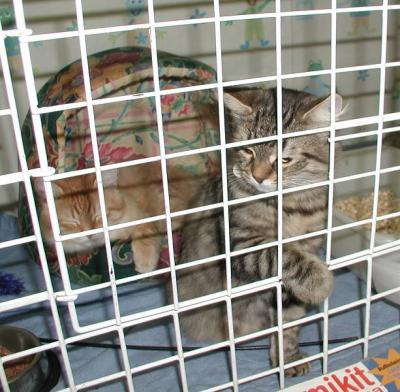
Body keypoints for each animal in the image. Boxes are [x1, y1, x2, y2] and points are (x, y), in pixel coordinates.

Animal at [35, 162, 205, 272]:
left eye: (99, 215)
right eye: (72, 222)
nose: (90, 234)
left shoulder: (142, 216)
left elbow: (146, 233)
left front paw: (145, 262)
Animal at [169, 88, 344, 376]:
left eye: (284, 159)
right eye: (248, 150)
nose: (258, 177)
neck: (290, 207)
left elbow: (288, 321)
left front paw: (288, 357)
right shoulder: (239, 242)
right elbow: (283, 255)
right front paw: (319, 283)